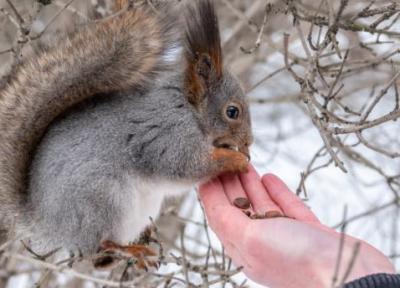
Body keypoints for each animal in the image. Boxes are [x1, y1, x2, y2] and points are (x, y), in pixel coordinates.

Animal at [0, 0, 253, 260]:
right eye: (232, 111)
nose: (249, 143)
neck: (188, 109)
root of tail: (46, 224)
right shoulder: (168, 135)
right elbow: (187, 165)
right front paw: (235, 159)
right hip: (103, 198)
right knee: (98, 246)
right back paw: (128, 250)